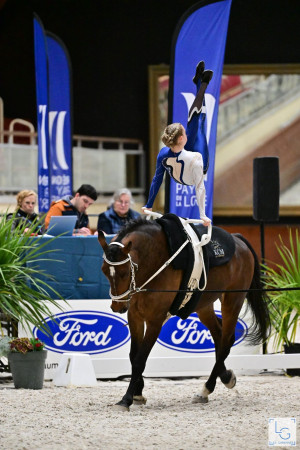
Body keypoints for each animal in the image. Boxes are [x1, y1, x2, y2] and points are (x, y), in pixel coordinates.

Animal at [98, 217, 270, 412]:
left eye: (125, 272)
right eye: (104, 270)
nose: (117, 307)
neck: (154, 261)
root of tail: (238, 239)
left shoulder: (155, 320)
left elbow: (140, 359)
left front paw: (126, 399)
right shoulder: (134, 316)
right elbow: (133, 355)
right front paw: (138, 393)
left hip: (233, 300)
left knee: (227, 340)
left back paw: (206, 388)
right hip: (204, 304)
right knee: (219, 336)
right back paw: (223, 377)